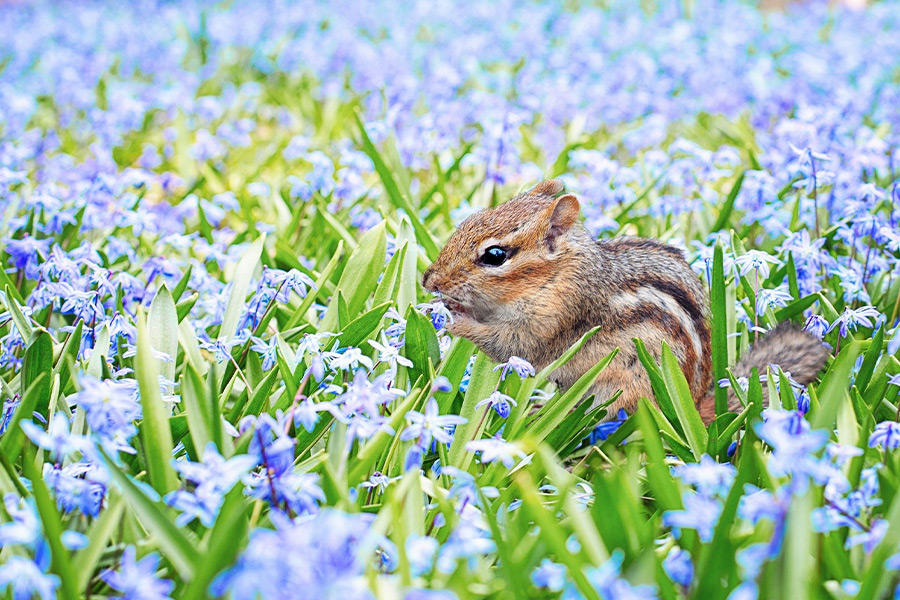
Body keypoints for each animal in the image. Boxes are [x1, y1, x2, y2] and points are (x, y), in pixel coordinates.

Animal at [422, 179, 830, 423]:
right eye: (468, 220)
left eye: (495, 255)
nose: (428, 280)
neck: (555, 275)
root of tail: (693, 406)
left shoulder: (554, 320)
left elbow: (509, 344)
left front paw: (453, 317)